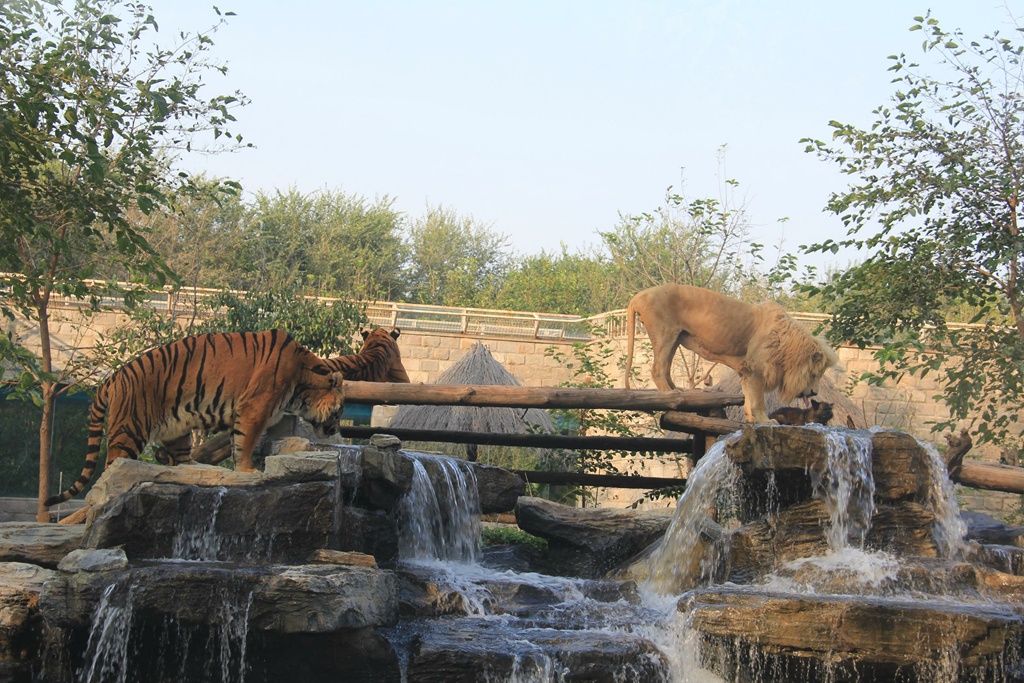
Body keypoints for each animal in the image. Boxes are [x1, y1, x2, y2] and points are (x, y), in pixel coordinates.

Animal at [45, 329, 345, 508]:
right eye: (341, 411)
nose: (334, 431)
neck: (302, 380)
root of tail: (113, 378)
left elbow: (239, 442)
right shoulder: (254, 408)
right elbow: (245, 442)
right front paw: (248, 470)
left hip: (174, 427)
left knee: (180, 458)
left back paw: (201, 468)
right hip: (130, 428)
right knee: (112, 466)